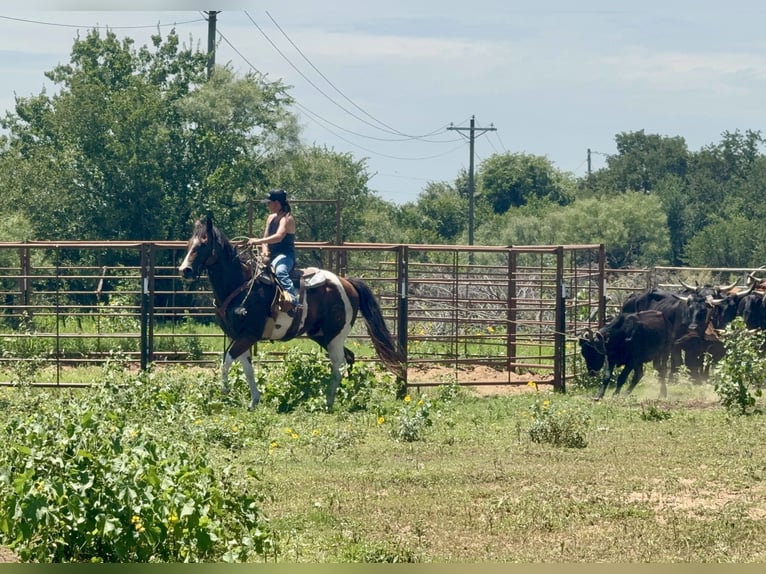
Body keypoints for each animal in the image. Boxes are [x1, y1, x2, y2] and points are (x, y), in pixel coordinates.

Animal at [178, 215, 406, 410]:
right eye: (189, 244)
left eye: (203, 244)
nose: (184, 270)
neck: (239, 283)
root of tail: (347, 282)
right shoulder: (238, 336)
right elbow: (247, 369)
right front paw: (254, 401)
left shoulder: (248, 335)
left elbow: (227, 360)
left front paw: (224, 390)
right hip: (322, 336)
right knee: (348, 358)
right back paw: (345, 396)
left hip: (335, 336)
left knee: (340, 364)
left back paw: (329, 402)